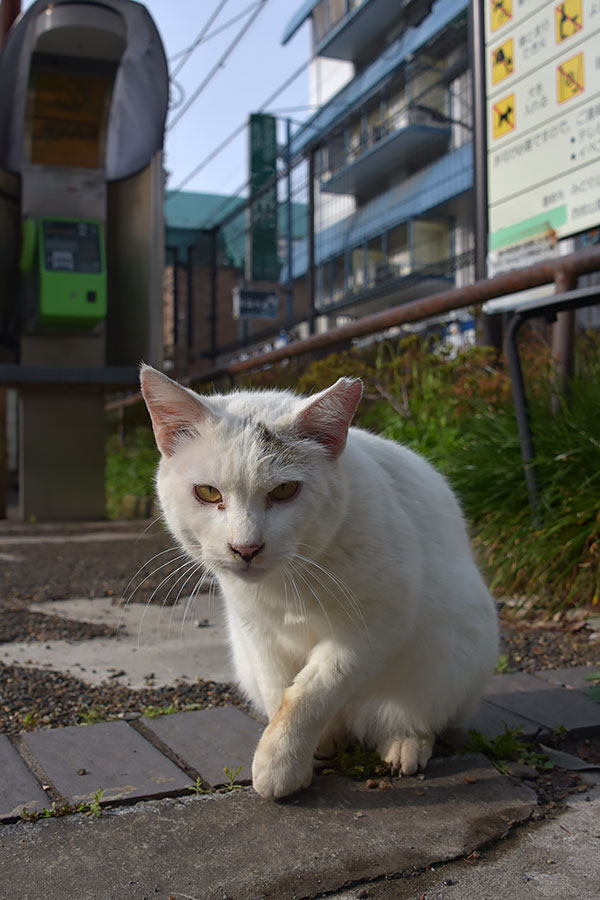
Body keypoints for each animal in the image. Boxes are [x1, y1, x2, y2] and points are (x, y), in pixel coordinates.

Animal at [139, 366, 496, 800]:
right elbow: (279, 691)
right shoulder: (255, 631)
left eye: (284, 490)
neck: (288, 582)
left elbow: (310, 693)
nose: (246, 547)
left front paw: (279, 765)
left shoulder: (375, 627)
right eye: (207, 492)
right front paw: (304, 752)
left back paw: (406, 743)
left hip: (454, 652)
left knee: (424, 711)